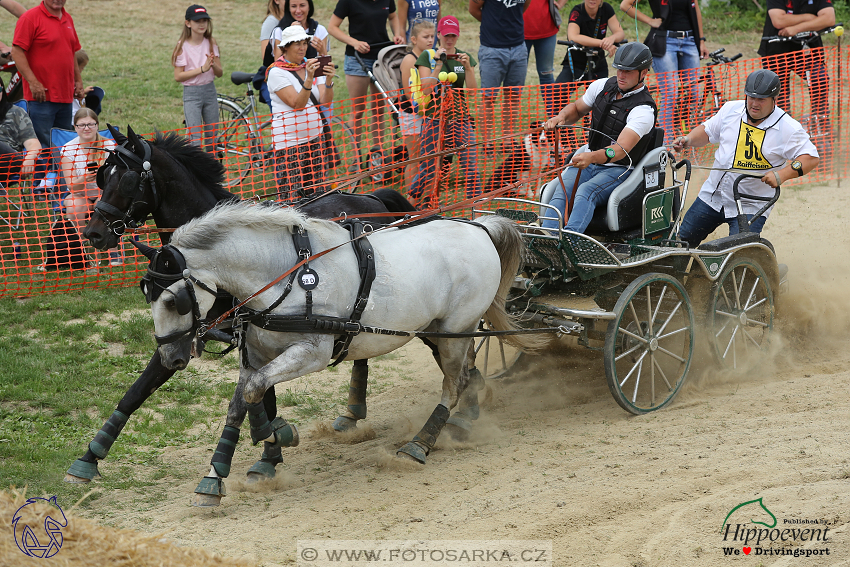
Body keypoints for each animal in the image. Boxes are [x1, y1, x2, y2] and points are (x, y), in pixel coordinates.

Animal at [68, 126, 420, 504]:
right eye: (102, 177)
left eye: (127, 179)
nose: (93, 232)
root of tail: (370, 196)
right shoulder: (189, 337)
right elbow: (136, 391)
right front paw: (88, 459)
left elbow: (262, 396)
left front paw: (268, 454)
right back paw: (352, 412)